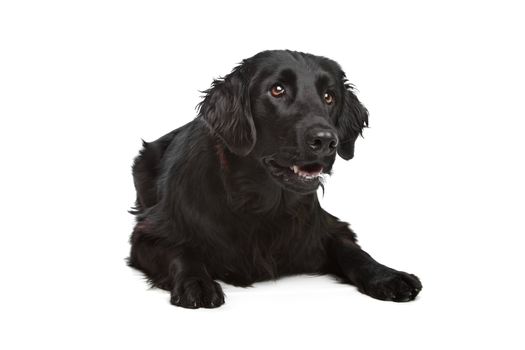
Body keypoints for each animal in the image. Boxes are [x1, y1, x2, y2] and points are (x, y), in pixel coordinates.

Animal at [128, 50, 422, 308]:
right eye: (277, 90)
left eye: (329, 96)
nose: (326, 141)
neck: (261, 205)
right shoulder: (148, 234)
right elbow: (181, 252)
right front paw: (196, 282)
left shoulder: (328, 228)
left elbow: (353, 250)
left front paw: (387, 275)